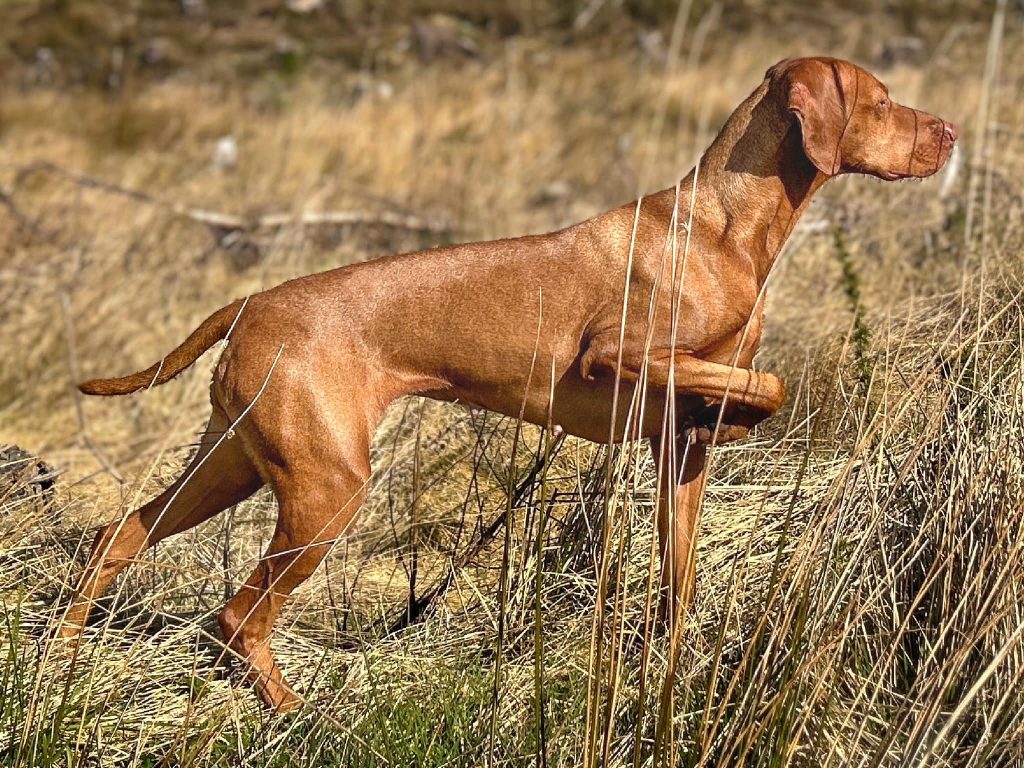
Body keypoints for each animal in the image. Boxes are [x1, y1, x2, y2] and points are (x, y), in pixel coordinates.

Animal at [66, 57, 958, 712]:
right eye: (883, 103)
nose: (950, 130)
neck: (722, 229)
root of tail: (250, 305)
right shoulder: (617, 356)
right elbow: (765, 381)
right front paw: (747, 412)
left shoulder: (680, 450)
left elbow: (681, 576)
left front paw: (664, 670)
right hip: (325, 488)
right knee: (236, 618)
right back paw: (294, 713)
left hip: (235, 462)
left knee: (121, 537)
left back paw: (63, 654)